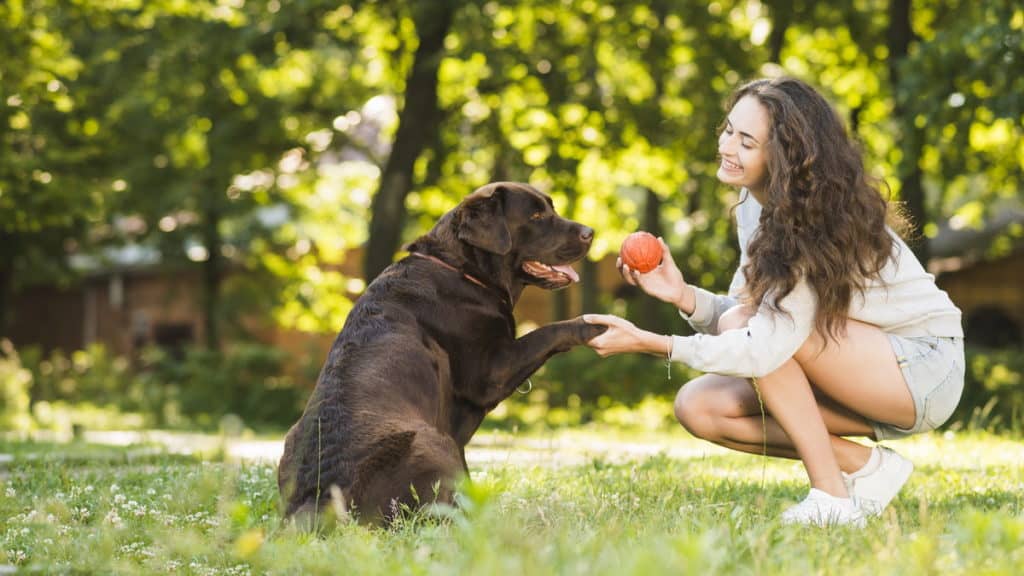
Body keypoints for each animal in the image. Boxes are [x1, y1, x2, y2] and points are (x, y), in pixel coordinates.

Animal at [276, 181, 602, 522]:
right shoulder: (491, 373)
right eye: (537, 216)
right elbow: (550, 330)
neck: (464, 270)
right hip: (429, 439)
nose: (590, 232)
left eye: (551, 208)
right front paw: (595, 326)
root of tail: (319, 496)